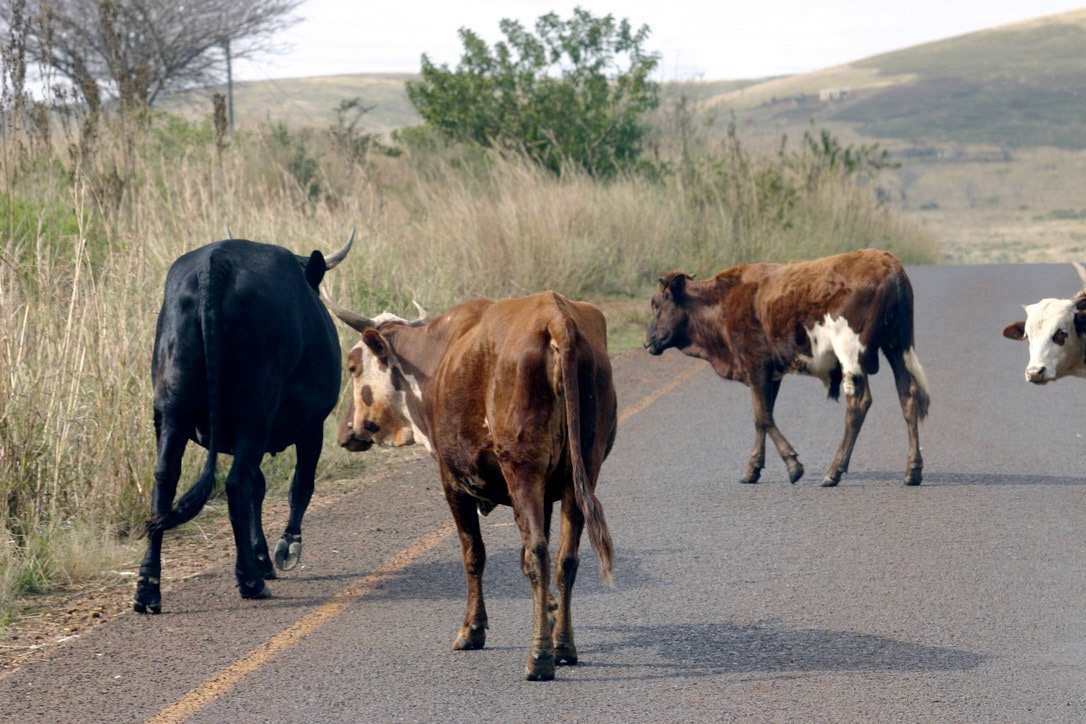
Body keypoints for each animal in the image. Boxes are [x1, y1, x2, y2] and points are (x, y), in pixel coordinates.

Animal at [133, 232, 353, 614]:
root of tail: (216, 262)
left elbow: (259, 487)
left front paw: (262, 556)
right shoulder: (312, 424)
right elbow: (299, 485)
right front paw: (284, 548)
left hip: (171, 409)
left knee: (165, 480)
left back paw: (148, 587)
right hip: (256, 410)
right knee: (236, 483)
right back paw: (249, 580)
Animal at [325, 291, 616, 681]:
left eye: (353, 366)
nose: (345, 433)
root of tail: (555, 315)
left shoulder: (453, 482)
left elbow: (474, 554)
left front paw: (472, 628)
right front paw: (551, 610)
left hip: (522, 467)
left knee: (538, 553)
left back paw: (539, 656)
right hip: (580, 471)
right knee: (564, 557)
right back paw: (564, 646)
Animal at [645, 248, 931, 487]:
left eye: (657, 304)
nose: (647, 340)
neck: (723, 301)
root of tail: (886, 263)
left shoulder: (756, 365)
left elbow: (762, 416)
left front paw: (793, 465)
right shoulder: (771, 374)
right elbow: (763, 417)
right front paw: (753, 468)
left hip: (850, 351)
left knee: (859, 403)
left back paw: (834, 471)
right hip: (897, 346)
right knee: (908, 396)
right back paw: (913, 470)